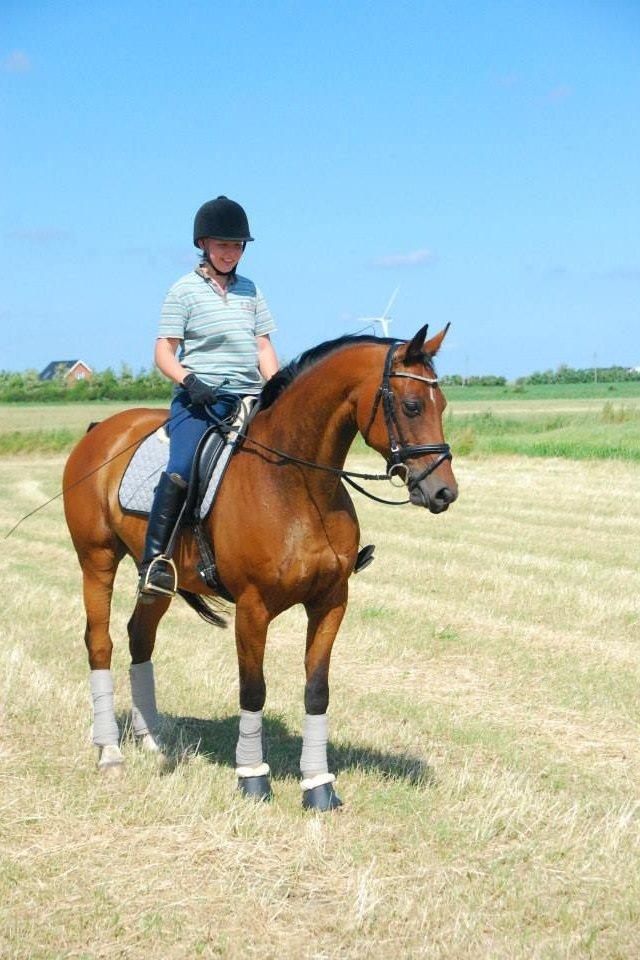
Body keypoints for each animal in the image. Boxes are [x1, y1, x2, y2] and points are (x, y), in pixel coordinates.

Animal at [63, 324, 458, 809]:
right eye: (412, 405)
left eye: (443, 405)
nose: (443, 492)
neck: (296, 482)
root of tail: (101, 430)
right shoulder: (253, 609)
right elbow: (253, 689)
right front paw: (252, 777)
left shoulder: (330, 602)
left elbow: (317, 690)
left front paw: (318, 785)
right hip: (96, 559)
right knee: (100, 644)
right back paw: (110, 752)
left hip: (158, 579)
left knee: (140, 637)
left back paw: (151, 739)